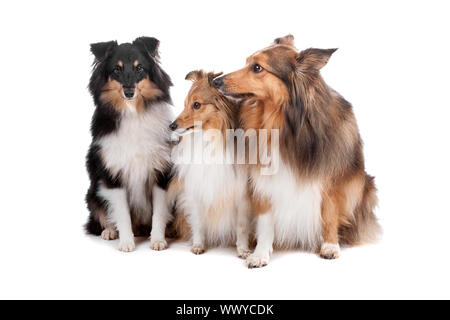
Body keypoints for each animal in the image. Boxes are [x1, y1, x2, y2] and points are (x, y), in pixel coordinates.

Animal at [84, 37, 174, 252]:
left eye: (139, 68)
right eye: (116, 69)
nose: (129, 92)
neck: (133, 112)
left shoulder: (161, 172)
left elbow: (159, 212)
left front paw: (158, 240)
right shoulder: (112, 176)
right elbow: (122, 213)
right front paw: (126, 243)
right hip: (93, 191)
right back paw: (109, 231)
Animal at [169, 70, 253, 258]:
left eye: (196, 105)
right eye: (184, 104)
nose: (171, 125)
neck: (210, 141)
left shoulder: (241, 194)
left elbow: (242, 226)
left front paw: (243, 250)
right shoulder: (196, 190)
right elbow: (198, 222)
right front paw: (198, 245)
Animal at [214, 35, 380, 268]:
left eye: (257, 68)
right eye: (246, 62)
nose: (215, 82)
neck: (284, 121)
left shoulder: (331, 177)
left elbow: (329, 214)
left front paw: (330, 246)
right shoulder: (264, 177)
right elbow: (265, 220)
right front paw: (260, 254)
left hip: (363, 184)